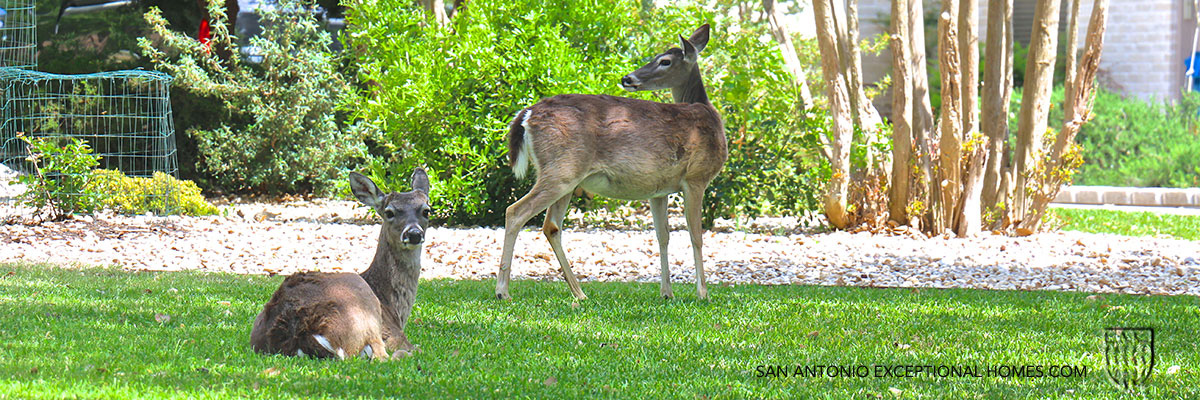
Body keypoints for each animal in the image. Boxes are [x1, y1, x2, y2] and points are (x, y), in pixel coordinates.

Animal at [248, 166, 432, 357]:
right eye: (389, 212)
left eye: (426, 210)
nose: (413, 233)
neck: (393, 306)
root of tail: (304, 333)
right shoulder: (395, 335)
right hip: (363, 307)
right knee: (383, 355)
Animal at [494, 23, 724, 299]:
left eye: (665, 61)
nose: (628, 79)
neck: (708, 114)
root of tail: (526, 114)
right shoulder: (696, 177)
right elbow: (696, 235)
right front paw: (703, 293)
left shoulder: (659, 189)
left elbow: (663, 236)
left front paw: (667, 293)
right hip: (562, 170)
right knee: (516, 212)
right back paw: (503, 291)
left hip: (563, 174)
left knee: (551, 225)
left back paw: (579, 293)